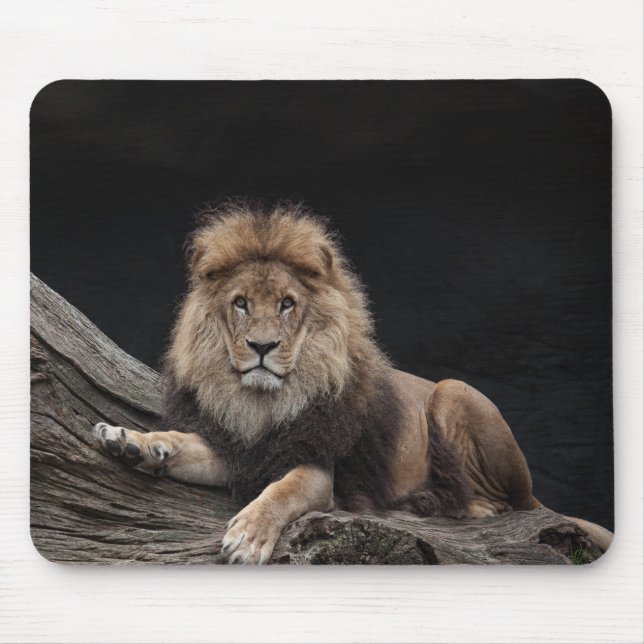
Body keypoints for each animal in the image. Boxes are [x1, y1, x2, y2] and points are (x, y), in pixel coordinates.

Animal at [93, 201, 613, 564]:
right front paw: (132, 441)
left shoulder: (316, 467)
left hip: (452, 392)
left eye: (286, 304)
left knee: (512, 506)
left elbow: (282, 492)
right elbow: (183, 442)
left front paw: (248, 537)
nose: (261, 346)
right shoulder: (243, 450)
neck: (262, 403)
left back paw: (445, 504)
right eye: (240, 303)